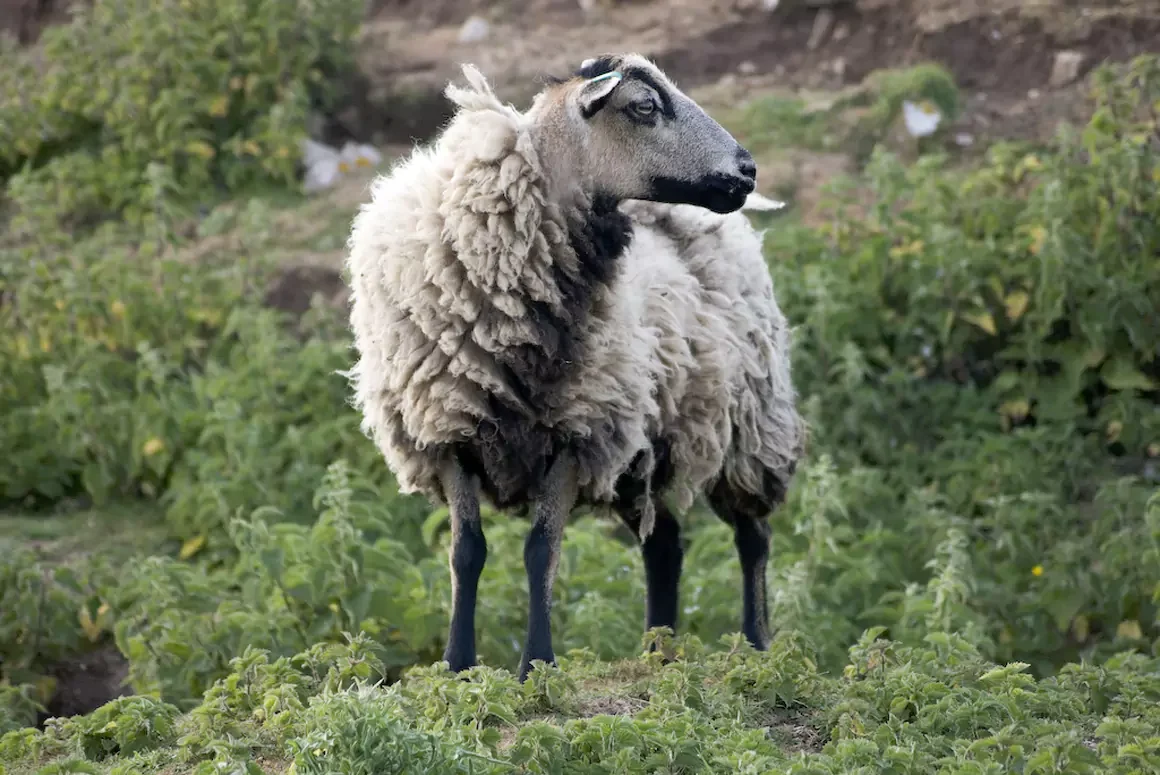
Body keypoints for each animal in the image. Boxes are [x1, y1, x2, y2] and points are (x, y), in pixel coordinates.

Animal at [343, 53, 805, 681]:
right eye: (644, 106)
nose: (747, 170)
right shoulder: (450, 431)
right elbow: (467, 553)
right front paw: (457, 665)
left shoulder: (576, 431)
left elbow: (541, 549)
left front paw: (536, 665)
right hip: (648, 447)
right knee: (665, 546)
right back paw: (657, 656)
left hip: (749, 425)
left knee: (752, 537)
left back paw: (757, 647)